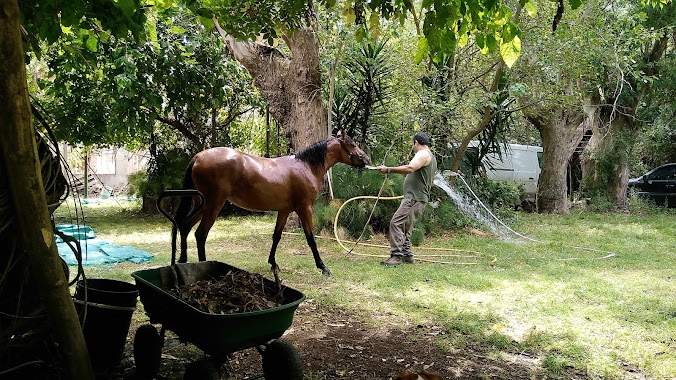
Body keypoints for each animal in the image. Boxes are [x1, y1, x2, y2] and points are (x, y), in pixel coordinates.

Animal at [169, 132, 370, 280]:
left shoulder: (284, 210)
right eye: (352, 144)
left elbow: (276, 236)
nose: (366, 159)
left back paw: (183, 260)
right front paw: (323, 267)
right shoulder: (304, 209)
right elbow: (311, 239)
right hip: (213, 205)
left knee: (185, 226)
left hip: (201, 204)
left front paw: (273, 262)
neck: (305, 166)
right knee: (200, 234)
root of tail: (198, 157)